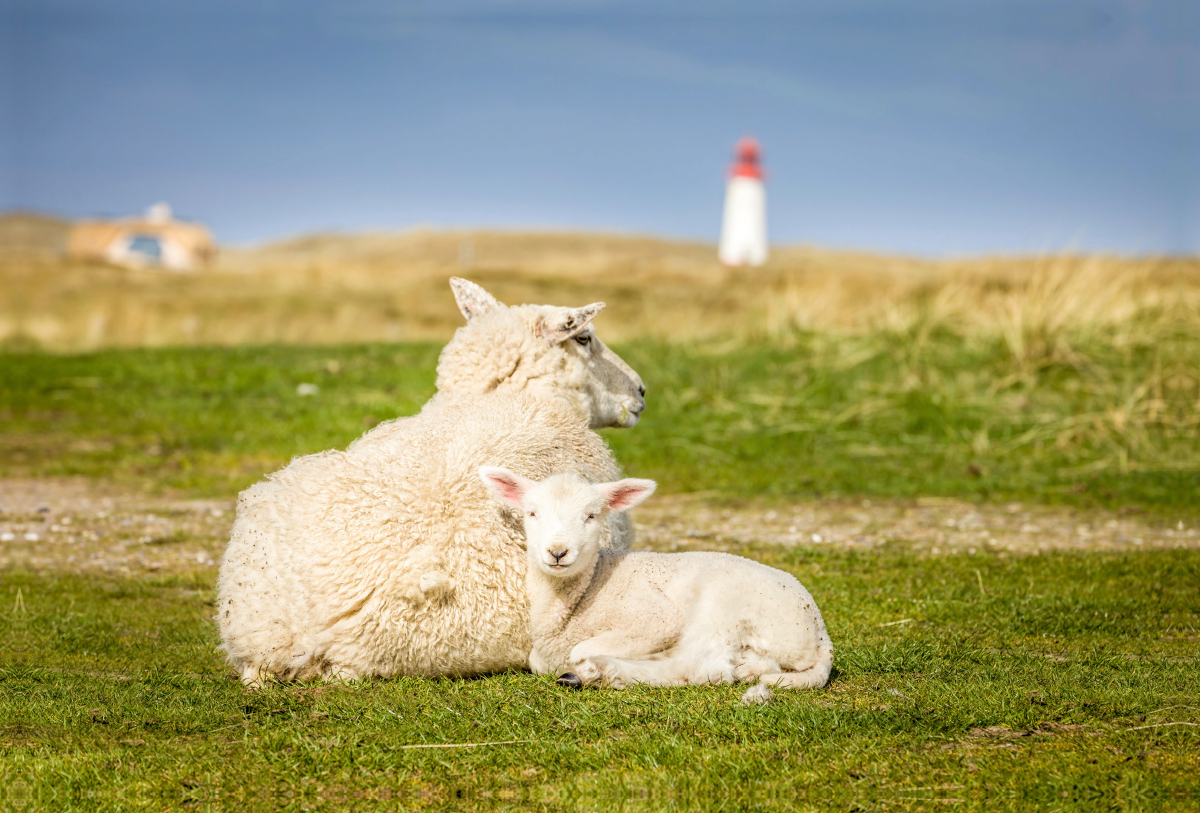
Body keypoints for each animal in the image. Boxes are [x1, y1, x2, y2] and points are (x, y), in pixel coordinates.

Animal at [477, 467, 835, 705]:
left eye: (592, 516)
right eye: (531, 513)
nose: (557, 552)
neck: (588, 591)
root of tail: (820, 638)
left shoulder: (655, 618)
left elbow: (580, 649)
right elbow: (537, 660)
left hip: (724, 606)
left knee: (700, 667)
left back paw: (601, 672)